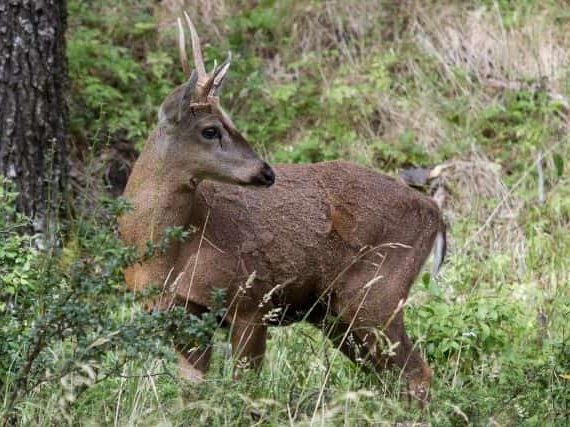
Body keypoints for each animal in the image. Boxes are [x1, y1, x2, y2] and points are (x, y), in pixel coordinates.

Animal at [117, 14, 446, 408]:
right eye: (210, 130)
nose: (266, 172)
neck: (165, 254)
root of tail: (434, 211)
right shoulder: (180, 314)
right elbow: (193, 392)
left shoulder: (251, 301)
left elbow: (245, 389)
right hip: (336, 315)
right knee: (394, 377)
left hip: (376, 294)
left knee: (418, 374)